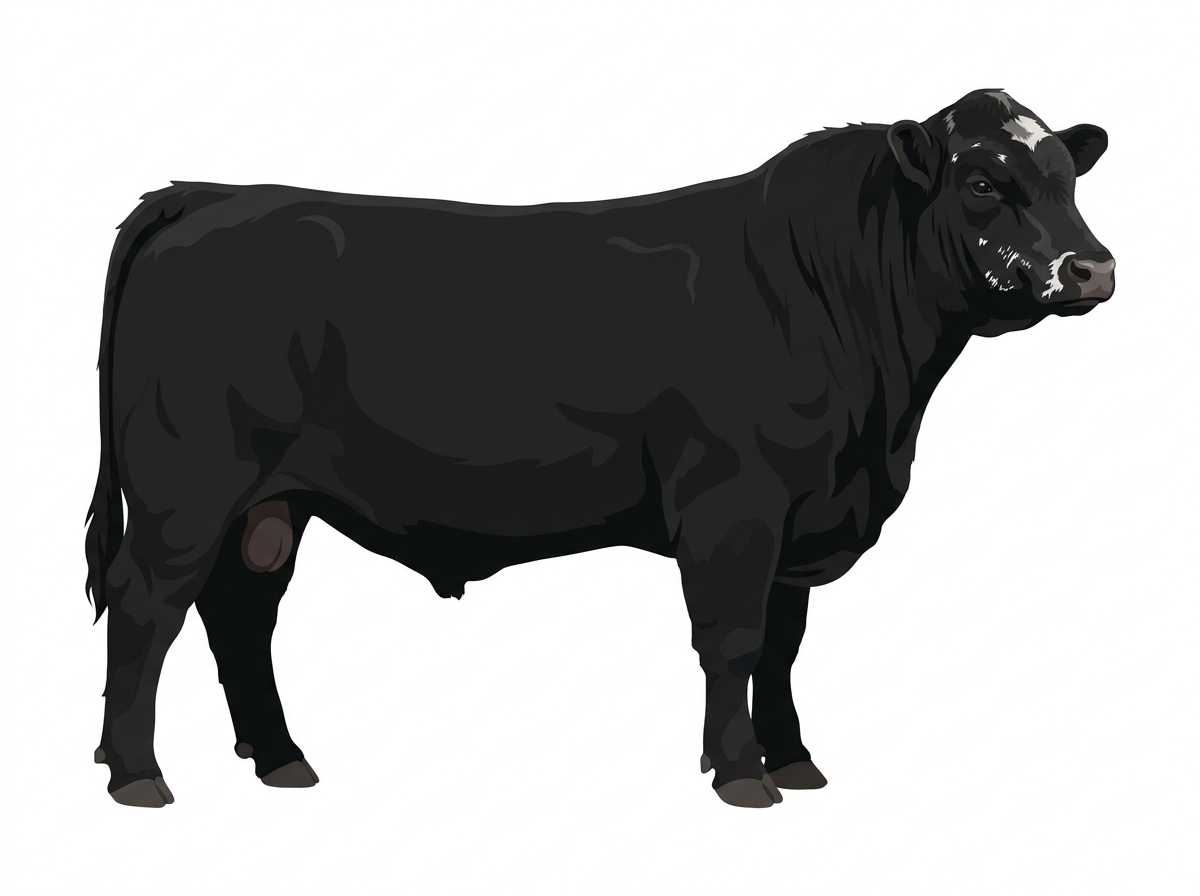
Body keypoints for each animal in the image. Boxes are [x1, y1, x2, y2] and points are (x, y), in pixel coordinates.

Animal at [85, 88, 1113, 808]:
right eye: (980, 181)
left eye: (1068, 178)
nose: (1091, 267)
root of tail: (206, 195)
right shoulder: (733, 503)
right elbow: (733, 640)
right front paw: (741, 774)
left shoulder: (802, 521)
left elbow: (783, 646)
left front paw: (795, 760)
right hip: (186, 485)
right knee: (146, 604)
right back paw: (137, 775)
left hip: (269, 501)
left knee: (238, 613)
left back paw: (281, 760)